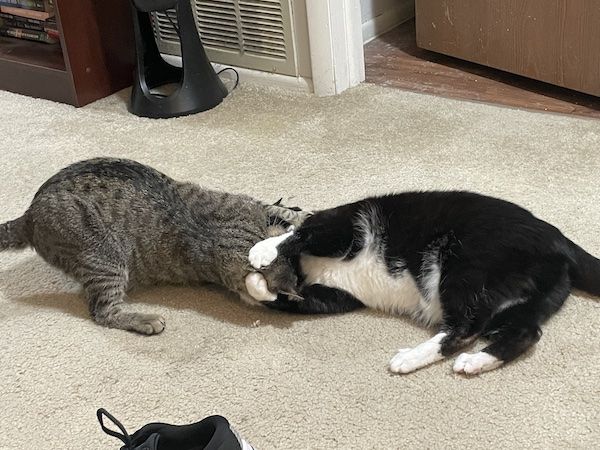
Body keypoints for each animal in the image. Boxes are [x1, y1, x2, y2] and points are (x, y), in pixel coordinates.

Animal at [0, 158, 308, 334]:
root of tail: (28, 216)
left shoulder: (252, 206)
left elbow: (284, 212)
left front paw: (301, 216)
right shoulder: (234, 269)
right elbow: (254, 287)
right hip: (105, 259)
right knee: (103, 312)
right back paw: (144, 320)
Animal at [245, 192, 600, 374]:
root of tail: (560, 241)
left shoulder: (341, 229)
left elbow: (299, 234)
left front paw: (260, 253)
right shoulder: (336, 296)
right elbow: (295, 298)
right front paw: (259, 287)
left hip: (465, 268)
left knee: (465, 328)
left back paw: (408, 359)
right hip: (527, 298)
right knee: (526, 332)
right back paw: (477, 362)